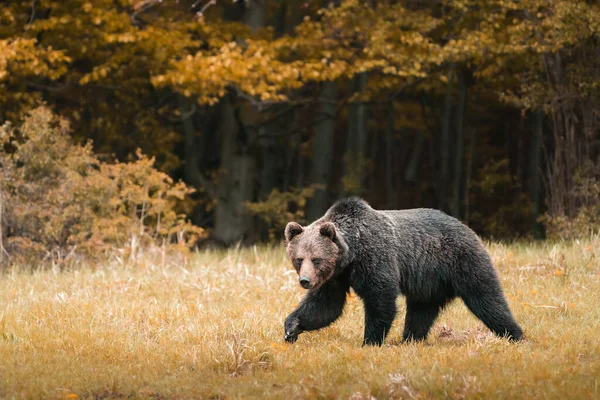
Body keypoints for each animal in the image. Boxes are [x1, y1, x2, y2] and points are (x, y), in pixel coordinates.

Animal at [282, 198, 520, 346]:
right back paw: (410, 340)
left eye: (316, 259)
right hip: (429, 282)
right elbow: (325, 305)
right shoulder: (336, 277)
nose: (305, 281)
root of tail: (466, 227)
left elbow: (381, 300)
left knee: (486, 298)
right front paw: (291, 328)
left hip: (462, 261)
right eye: (299, 259)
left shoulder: (376, 258)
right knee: (421, 311)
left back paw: (515, 335)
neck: (351, 254)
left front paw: (370, 341)